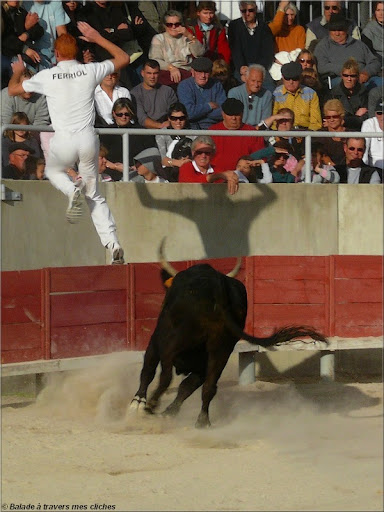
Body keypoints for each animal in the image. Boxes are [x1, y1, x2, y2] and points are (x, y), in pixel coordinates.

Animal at [130, 260, 328, 428]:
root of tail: (218, 284)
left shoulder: (156, 342)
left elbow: (149, 371)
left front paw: (138, 403)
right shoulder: (202, 364)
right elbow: (187, 386)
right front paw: (169, 412)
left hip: (176, 341)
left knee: (164, 375)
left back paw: (151, 405)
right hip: (221, 349)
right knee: (208, 386)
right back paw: (201, 421)